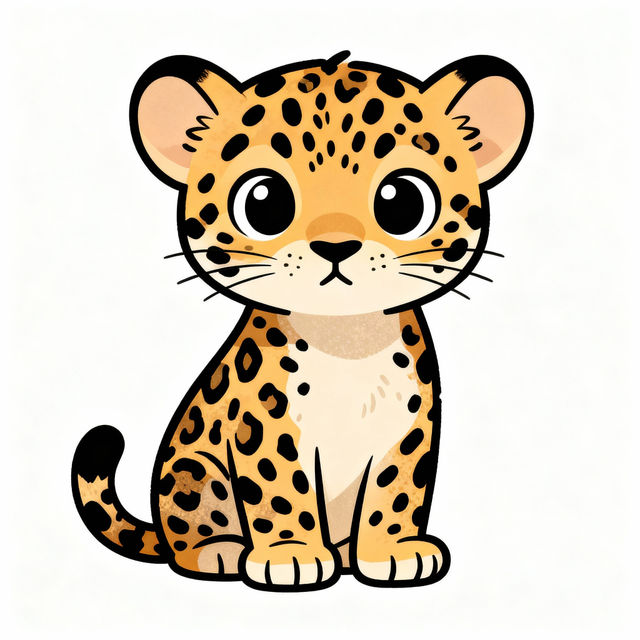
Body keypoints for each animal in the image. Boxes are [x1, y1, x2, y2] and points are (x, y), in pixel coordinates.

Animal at [71, 50, 532, 591]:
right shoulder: (266, 427)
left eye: (403, 201)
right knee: (185, 536)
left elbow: (396, 491)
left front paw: (393, 552)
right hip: (193, 469)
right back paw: (222, 551)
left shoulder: (408, 426)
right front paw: (289, 556)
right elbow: (281, 492)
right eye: (264, 201)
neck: (346, 339)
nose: (335, 246)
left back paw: (346, 553)